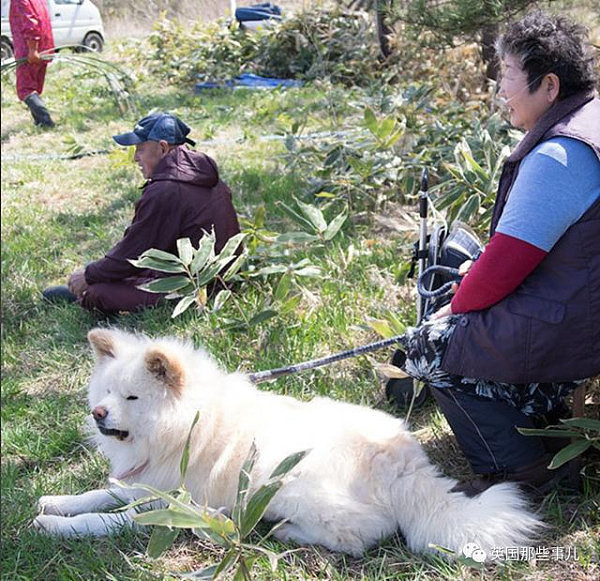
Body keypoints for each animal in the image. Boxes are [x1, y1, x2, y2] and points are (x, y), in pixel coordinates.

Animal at [32, 328, 540, 556]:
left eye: (131, 397)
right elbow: (100, 493)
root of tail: (404, 464)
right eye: (105, 393)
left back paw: (286, 532)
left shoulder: (174, 504)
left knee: (361, 533)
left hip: (283, 478)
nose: (98, 414)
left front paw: (53, 526)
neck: (182, 426)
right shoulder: (142, 481)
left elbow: (106, 520)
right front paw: (56, 502)